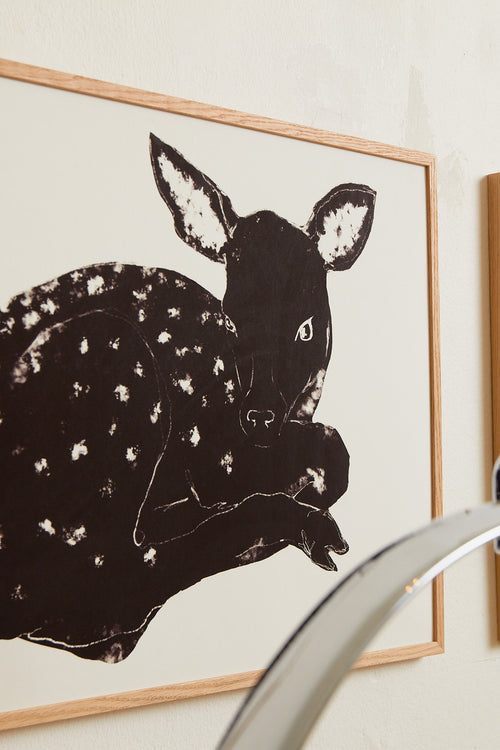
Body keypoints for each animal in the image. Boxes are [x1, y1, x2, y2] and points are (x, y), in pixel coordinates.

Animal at [0, 134, 375, 663]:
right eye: (232, 323)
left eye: (306, 328)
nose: (259, 415)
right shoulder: (210, 451)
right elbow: (330, 454)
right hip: (115, 367)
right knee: (103, 586)